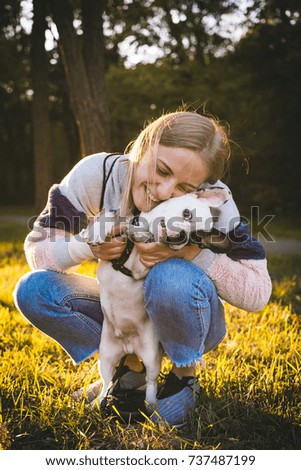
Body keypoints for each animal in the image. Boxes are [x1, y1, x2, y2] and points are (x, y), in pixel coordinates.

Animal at [79, 186, 230, 412]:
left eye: (195, 239)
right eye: (187, 213)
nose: (182, 236)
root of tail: (128, 348)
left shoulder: (143, 266)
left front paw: (142, 236)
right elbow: (111, 217)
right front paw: (96, 231)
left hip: (150, 358)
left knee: (150, 382)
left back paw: (150, 405)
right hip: (105, 357)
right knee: (107, 382)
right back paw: (97, 403)